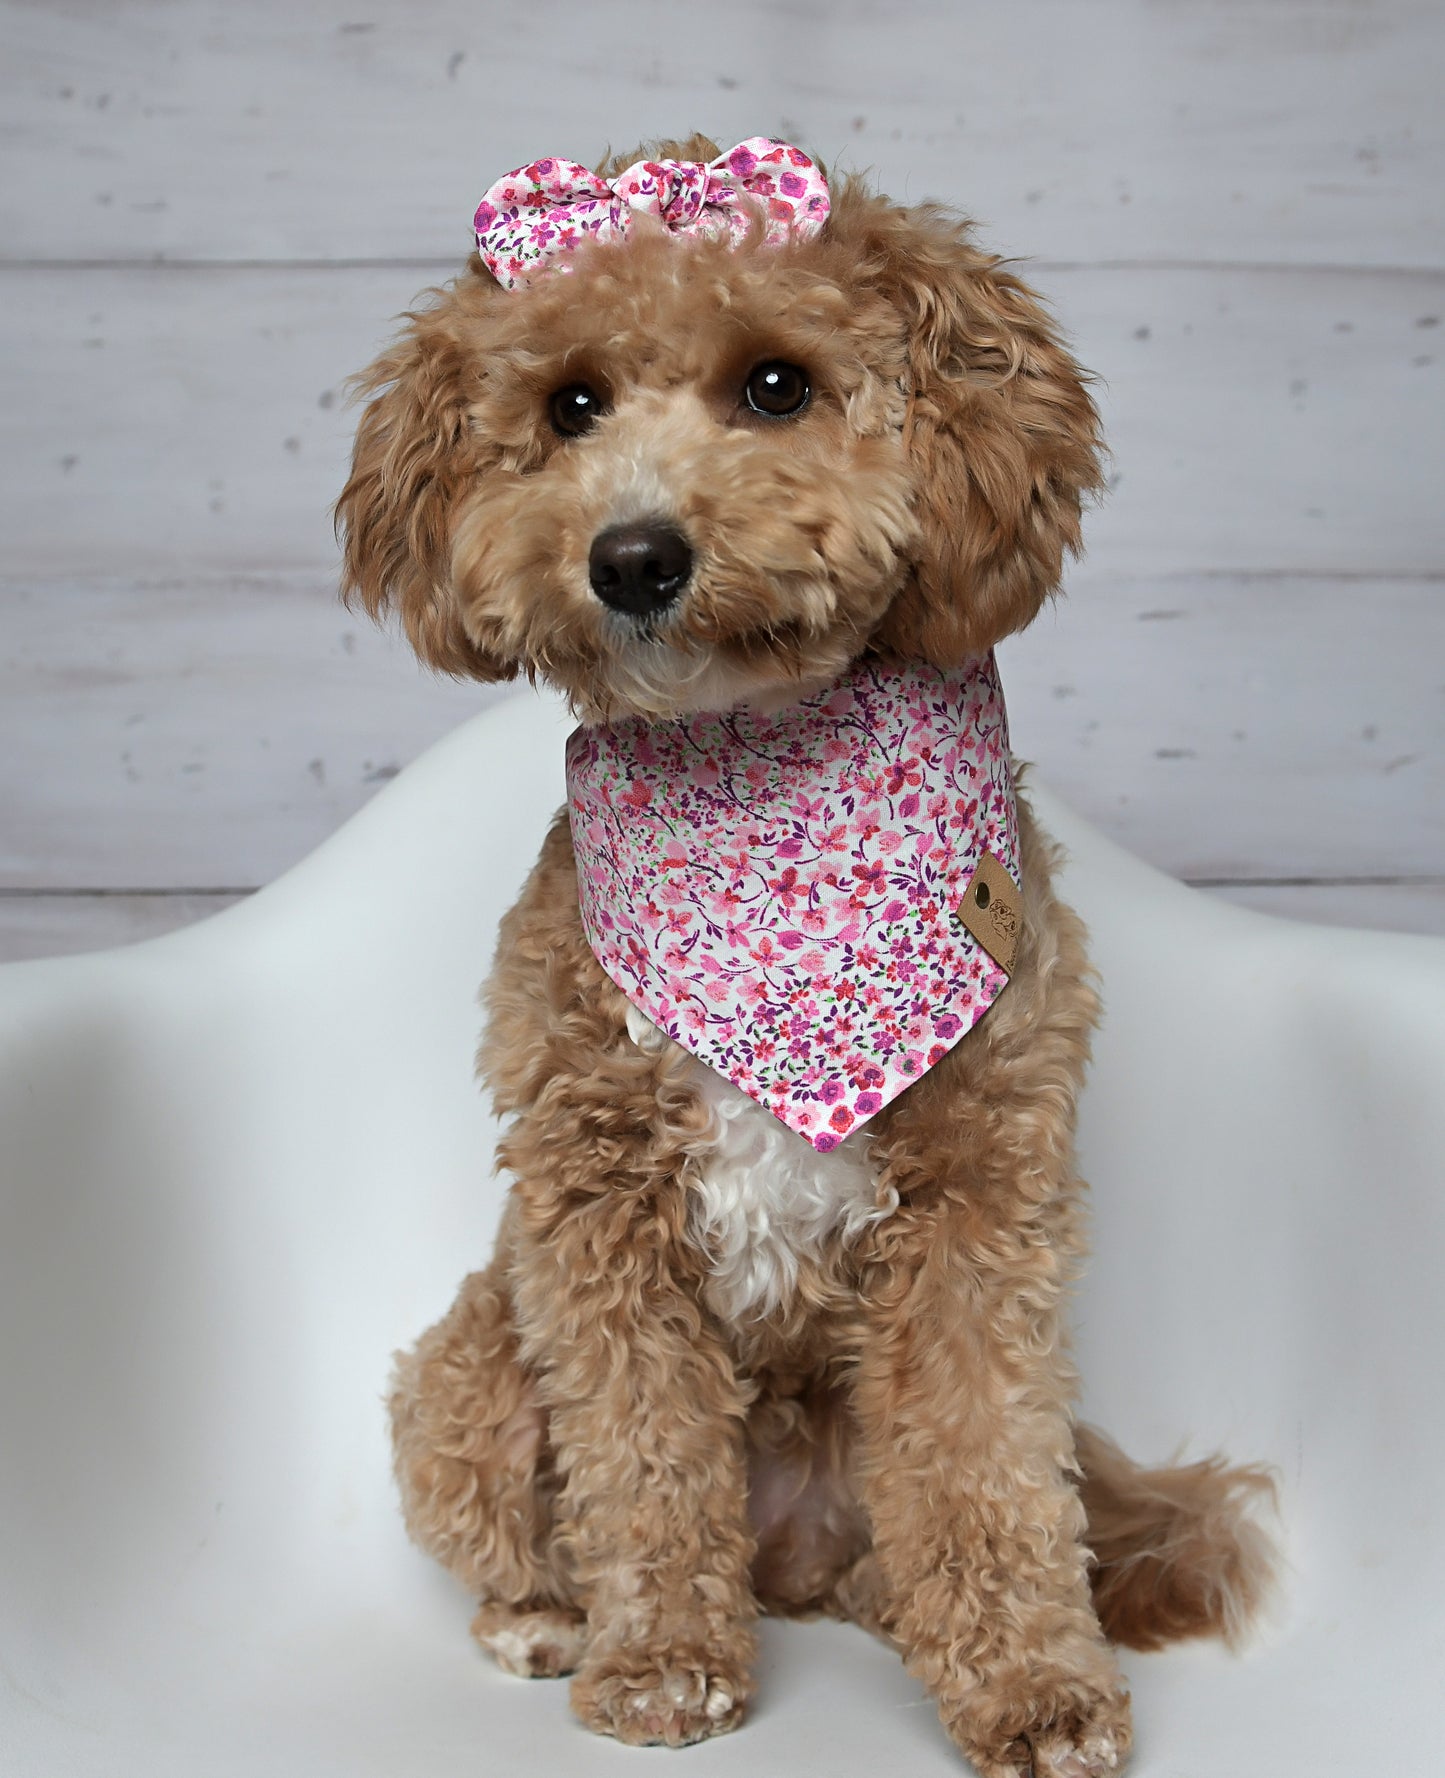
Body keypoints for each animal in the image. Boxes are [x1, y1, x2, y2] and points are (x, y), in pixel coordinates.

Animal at [332, 131, 1265, 1770]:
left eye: (777, 386)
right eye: (569, 406)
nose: (633, 556)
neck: (761, 809)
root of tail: (788, 1561)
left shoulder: (978, 1208)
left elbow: (984, 1458)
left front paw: (1035, 1686)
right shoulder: (595, 1220)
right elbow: (640, 1456)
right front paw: (660, 1660)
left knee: (938, 1517)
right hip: (468, 1364)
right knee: (524, 1506)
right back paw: (546, 1616)